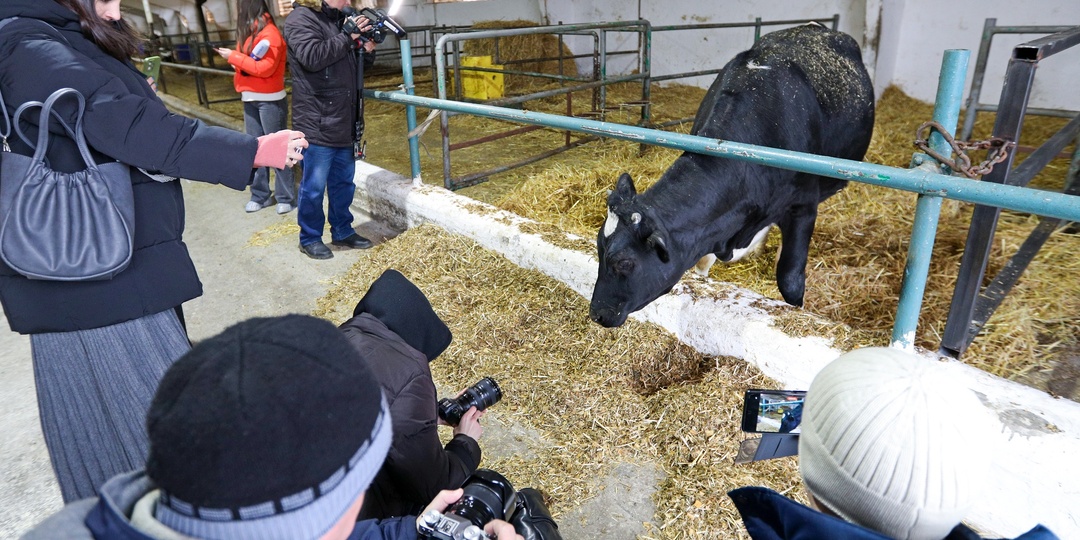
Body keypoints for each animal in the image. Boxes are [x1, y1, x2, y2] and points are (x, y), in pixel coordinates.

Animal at [587, 23, 872, 326]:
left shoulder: (803, 207)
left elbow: (791, 279)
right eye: (599, 248)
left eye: (624, 262)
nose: (597, 313)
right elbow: (703, 263)